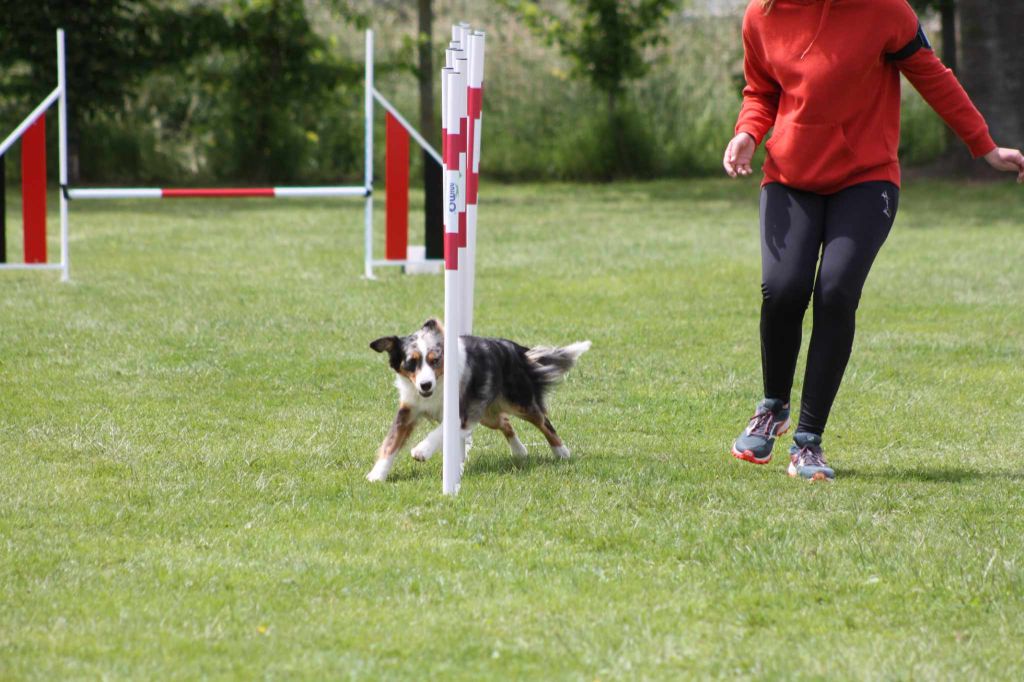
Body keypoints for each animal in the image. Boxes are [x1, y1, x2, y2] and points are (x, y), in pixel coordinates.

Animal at [368, 317, 593, 481]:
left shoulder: (464, 410)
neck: (438, 385)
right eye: (411, 362)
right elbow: (391, 443)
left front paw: (422, 450)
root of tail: (514, 348)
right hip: (487, 413)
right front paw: (377, 475)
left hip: (518, 402)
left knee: (543, 421)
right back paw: (519, 451)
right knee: (505, 422)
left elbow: (439, 431)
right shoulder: (409, 410)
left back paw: (562, 452)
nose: (425, 385)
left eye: (435, 360)